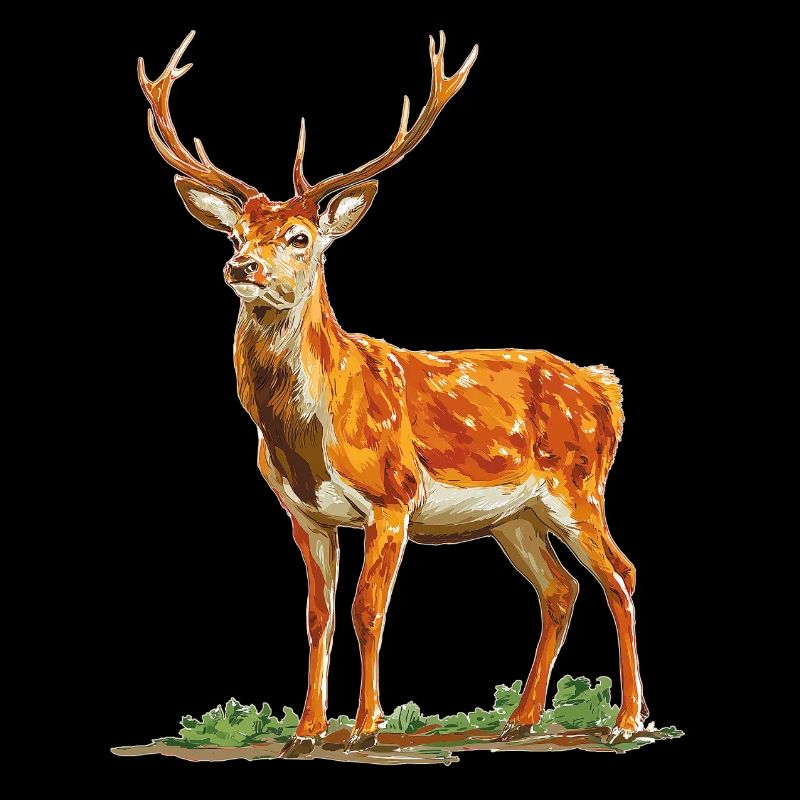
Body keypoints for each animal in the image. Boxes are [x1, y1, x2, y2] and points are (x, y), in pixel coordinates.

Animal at [138, 31, 646, 757]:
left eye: (300, 237)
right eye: (235, 233)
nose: (241, 265)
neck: (305, 434)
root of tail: (607, 387)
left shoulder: (392, 496)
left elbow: (367, 608)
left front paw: (363, 728)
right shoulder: (304, 514)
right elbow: (317, 615)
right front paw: (306, 732)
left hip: (579, 485)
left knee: (620, 574)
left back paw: (629, 720)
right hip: (515, 516)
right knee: (560, 589)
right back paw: (521, 719)